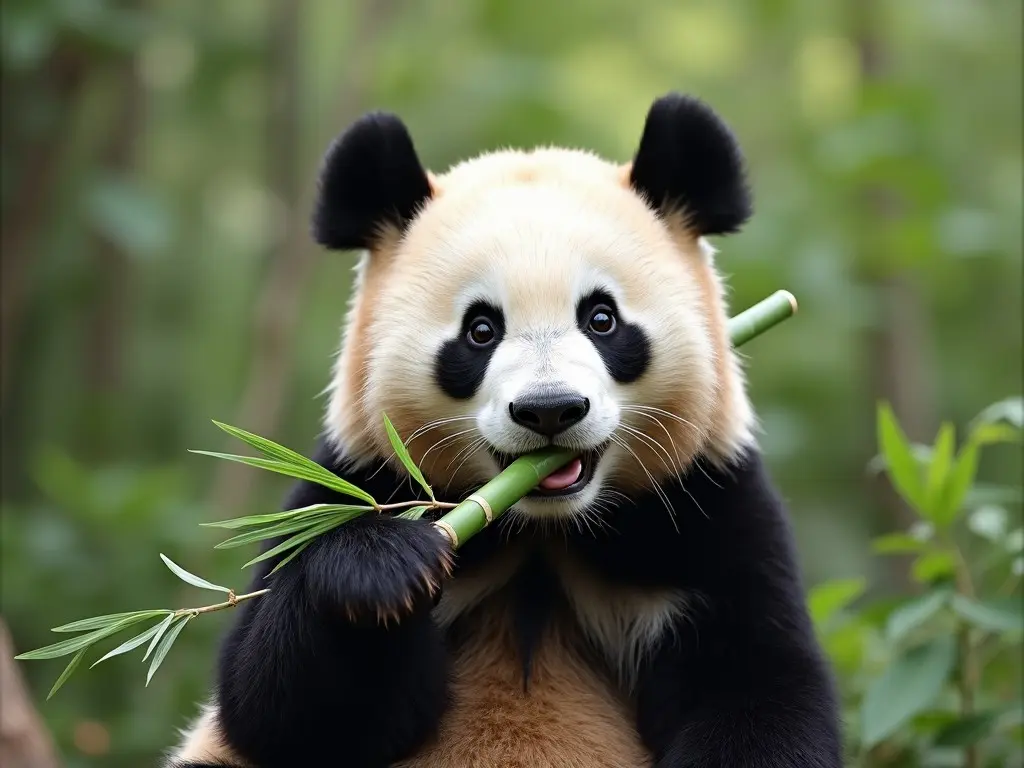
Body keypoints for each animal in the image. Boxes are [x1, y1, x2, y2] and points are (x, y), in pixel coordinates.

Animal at [165, 93, 839, 765]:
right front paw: (381, 566)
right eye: (480, 330)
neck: (542, 529)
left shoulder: (706, 510)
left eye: (602, 319)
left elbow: (762, 691)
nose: (550, 410)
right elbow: (278, 709)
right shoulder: (352, 477)